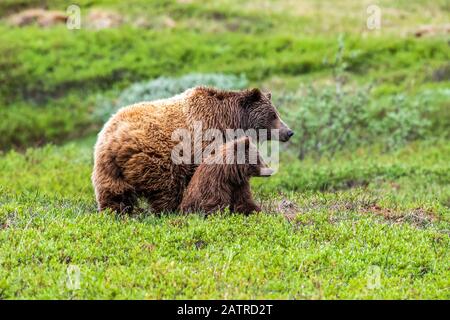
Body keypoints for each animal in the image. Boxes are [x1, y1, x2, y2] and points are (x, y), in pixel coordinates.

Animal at [93, 86, 294, 214]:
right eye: (273, 115)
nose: (289, 132)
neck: (231, 121)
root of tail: (115, 139)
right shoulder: (206, 141)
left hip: (107, 167)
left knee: (114, 194)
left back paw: (116, 214)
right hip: (156, 158)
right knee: (166, 188)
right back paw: (168, 211)